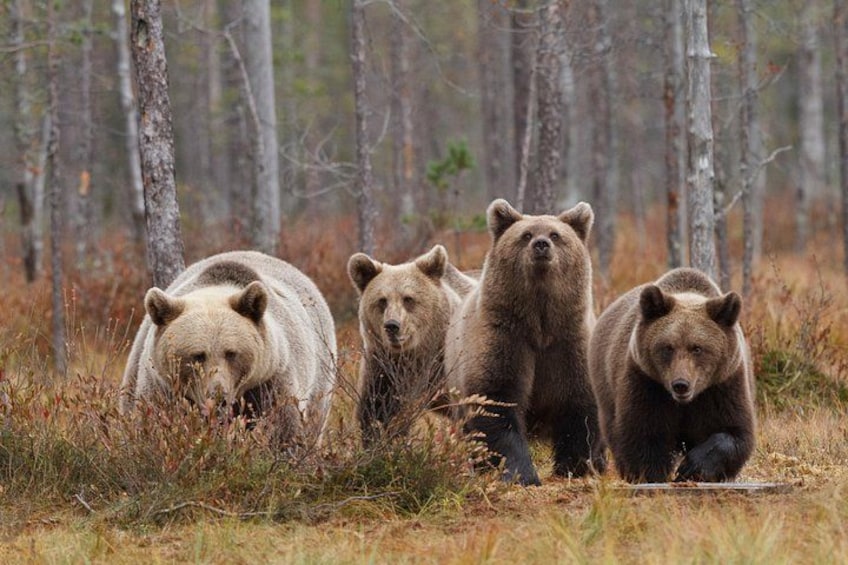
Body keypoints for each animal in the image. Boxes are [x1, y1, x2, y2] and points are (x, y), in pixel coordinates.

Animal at [120, 250, 337, 447]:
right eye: (198, 355)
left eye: (231, 353)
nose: (219, 397)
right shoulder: (163, 387)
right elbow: (153, 422)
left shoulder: (270, 381)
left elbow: (282, 428)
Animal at [445, 199, 603, 486]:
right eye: (526, 235)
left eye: (556, 235)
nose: (541, 244)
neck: (540, 323)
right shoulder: (505, 337)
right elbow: (498, 400)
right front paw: (522, 473)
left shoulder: (570, 340)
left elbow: (580, 403)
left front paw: (573, 466)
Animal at [588, 267, 756, 483]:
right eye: (668, 347)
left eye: (697, 348)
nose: (681, 384)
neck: (685, 402)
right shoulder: (647, 382)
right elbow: (643, 432)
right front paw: (652, 473)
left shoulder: (723, 385)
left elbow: (733, 432)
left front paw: (692, 467)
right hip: (607, 387)